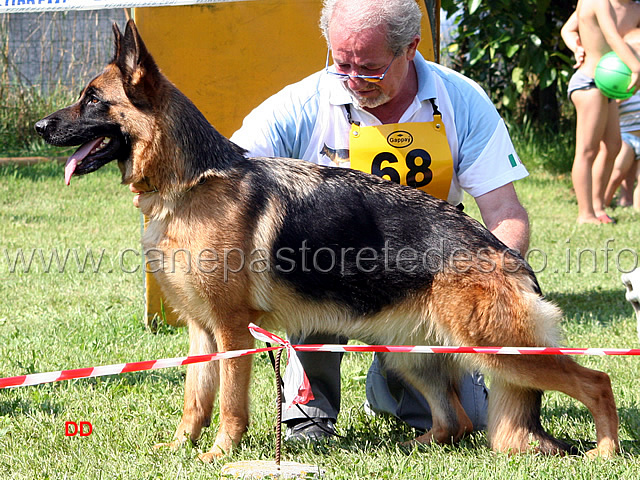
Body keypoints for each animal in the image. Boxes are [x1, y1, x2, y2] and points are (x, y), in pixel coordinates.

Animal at [35, 19, 620, 462]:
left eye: (92, 100)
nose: (40, 127)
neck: (189, 183)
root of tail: (509, 257)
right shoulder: (202, 332)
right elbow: (194, 401)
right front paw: (181, 449)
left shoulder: (231, 332)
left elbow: (230, 405)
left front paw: (220, 454)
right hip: (416, 354)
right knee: (454, 419)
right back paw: (417, 447)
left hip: (499, 350)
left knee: (596, 379)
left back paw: (606, 452)